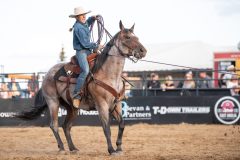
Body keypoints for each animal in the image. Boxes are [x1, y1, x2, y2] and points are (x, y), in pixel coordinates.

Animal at [15, 20, 147, 156]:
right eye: (127, 37)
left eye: (137, 37)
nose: (143, 51)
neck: (109, 75)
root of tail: (47, 74)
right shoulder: (102, 105)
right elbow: (106, 128)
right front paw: (111, 150)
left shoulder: (117, 104)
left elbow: (122, 124)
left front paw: (119, 147)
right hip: (53, 102)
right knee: (54, 125)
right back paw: (62, 147)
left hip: (72, 107)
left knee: (66, 126)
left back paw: (73, 148)